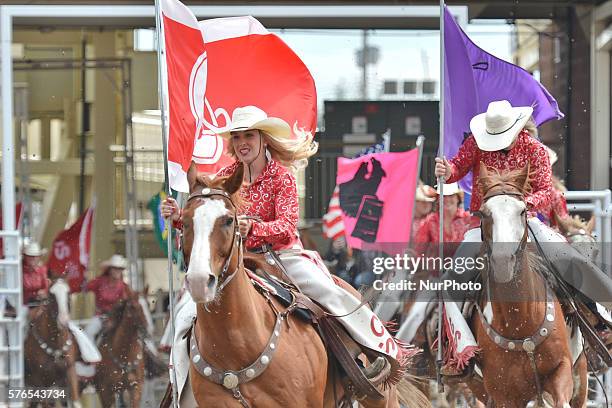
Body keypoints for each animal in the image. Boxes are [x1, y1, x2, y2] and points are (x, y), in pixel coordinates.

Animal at [468, 163, 588, 408]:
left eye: (522, 211)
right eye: (484, 213)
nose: (503, 261)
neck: (520, 321)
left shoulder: (561, 371)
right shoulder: (504, 394)